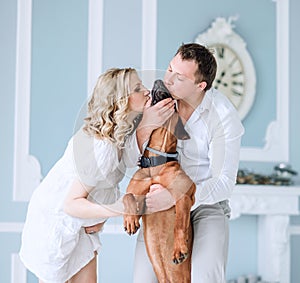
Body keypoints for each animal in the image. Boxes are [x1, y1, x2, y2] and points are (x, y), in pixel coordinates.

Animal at [123, 80, 196, 283]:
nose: (158, 80)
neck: (156, 161)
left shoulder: (184, 196)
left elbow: (179, 224)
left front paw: (179, 250)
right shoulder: (142, 199)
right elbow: (128, 196)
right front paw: (130, 221)